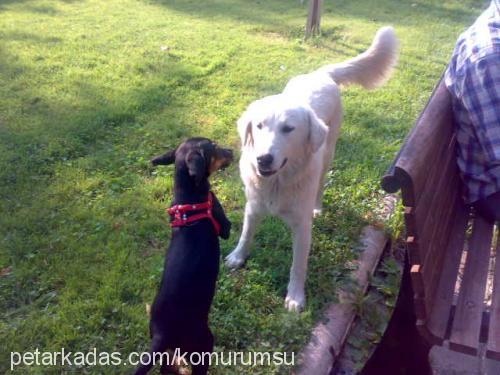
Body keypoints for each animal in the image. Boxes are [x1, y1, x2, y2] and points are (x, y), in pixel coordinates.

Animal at [135, 139, 232, 375]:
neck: (188, 197)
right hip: (203, 345)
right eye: (214, 146)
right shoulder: (224, 225)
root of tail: (162, 334)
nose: (233, 151)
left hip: (168, 354)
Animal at [226, 27, 398, 312]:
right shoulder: (253, 207)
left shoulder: (302, 227)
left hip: (328, 154)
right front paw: (238, 257)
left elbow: (298, 266)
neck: (278, 183)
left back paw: (319, 207)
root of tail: (321, 74)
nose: (263, 159)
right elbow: (245, 235)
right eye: (259, 126)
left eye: (288, 129)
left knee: (321, 184)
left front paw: (295, 297)